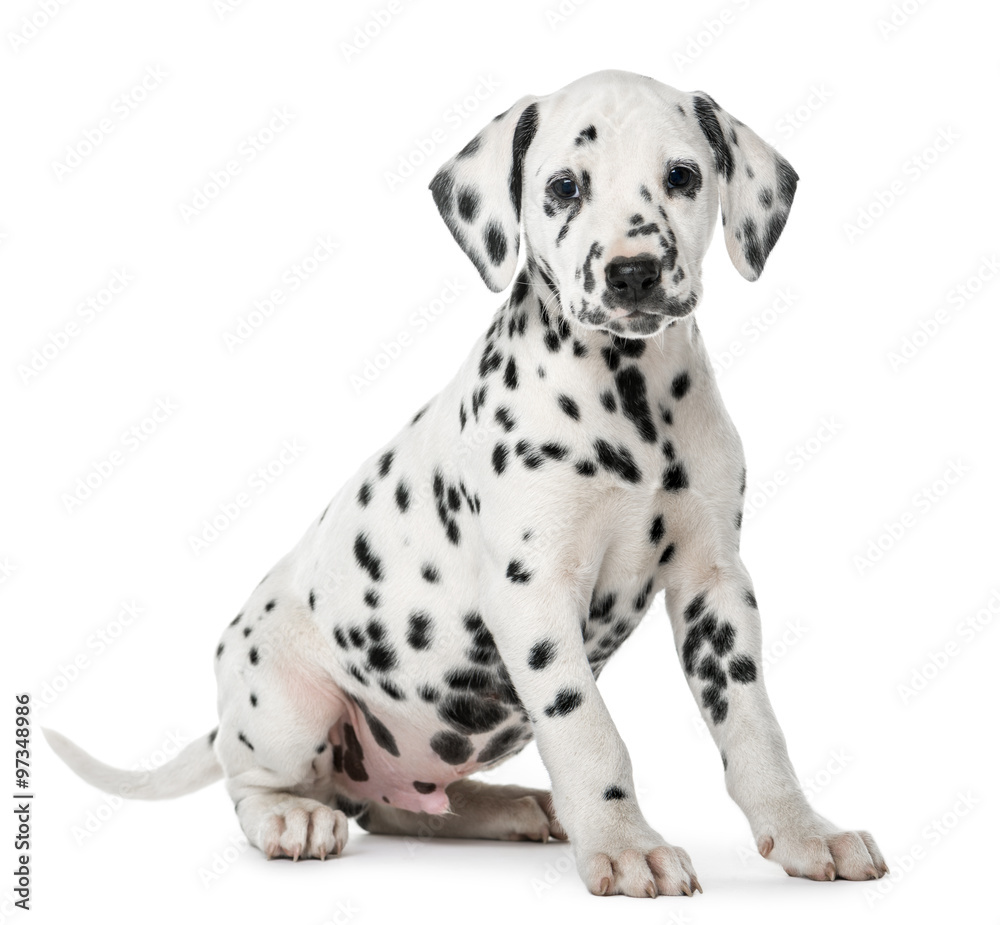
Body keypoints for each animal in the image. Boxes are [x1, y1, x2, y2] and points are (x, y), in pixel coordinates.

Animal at [48, 70, 892, 896]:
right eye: (563, 186)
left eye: (682, 176)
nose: (633, 272)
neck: (632, 399)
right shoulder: (533, 593)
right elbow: (588, 728)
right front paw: (625, 843)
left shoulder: (714, 583)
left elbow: (753, 723)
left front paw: (804, 829)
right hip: (290, 705)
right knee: (261, 785)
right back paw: (291, 818)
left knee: (399, 807)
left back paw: (507, 804)